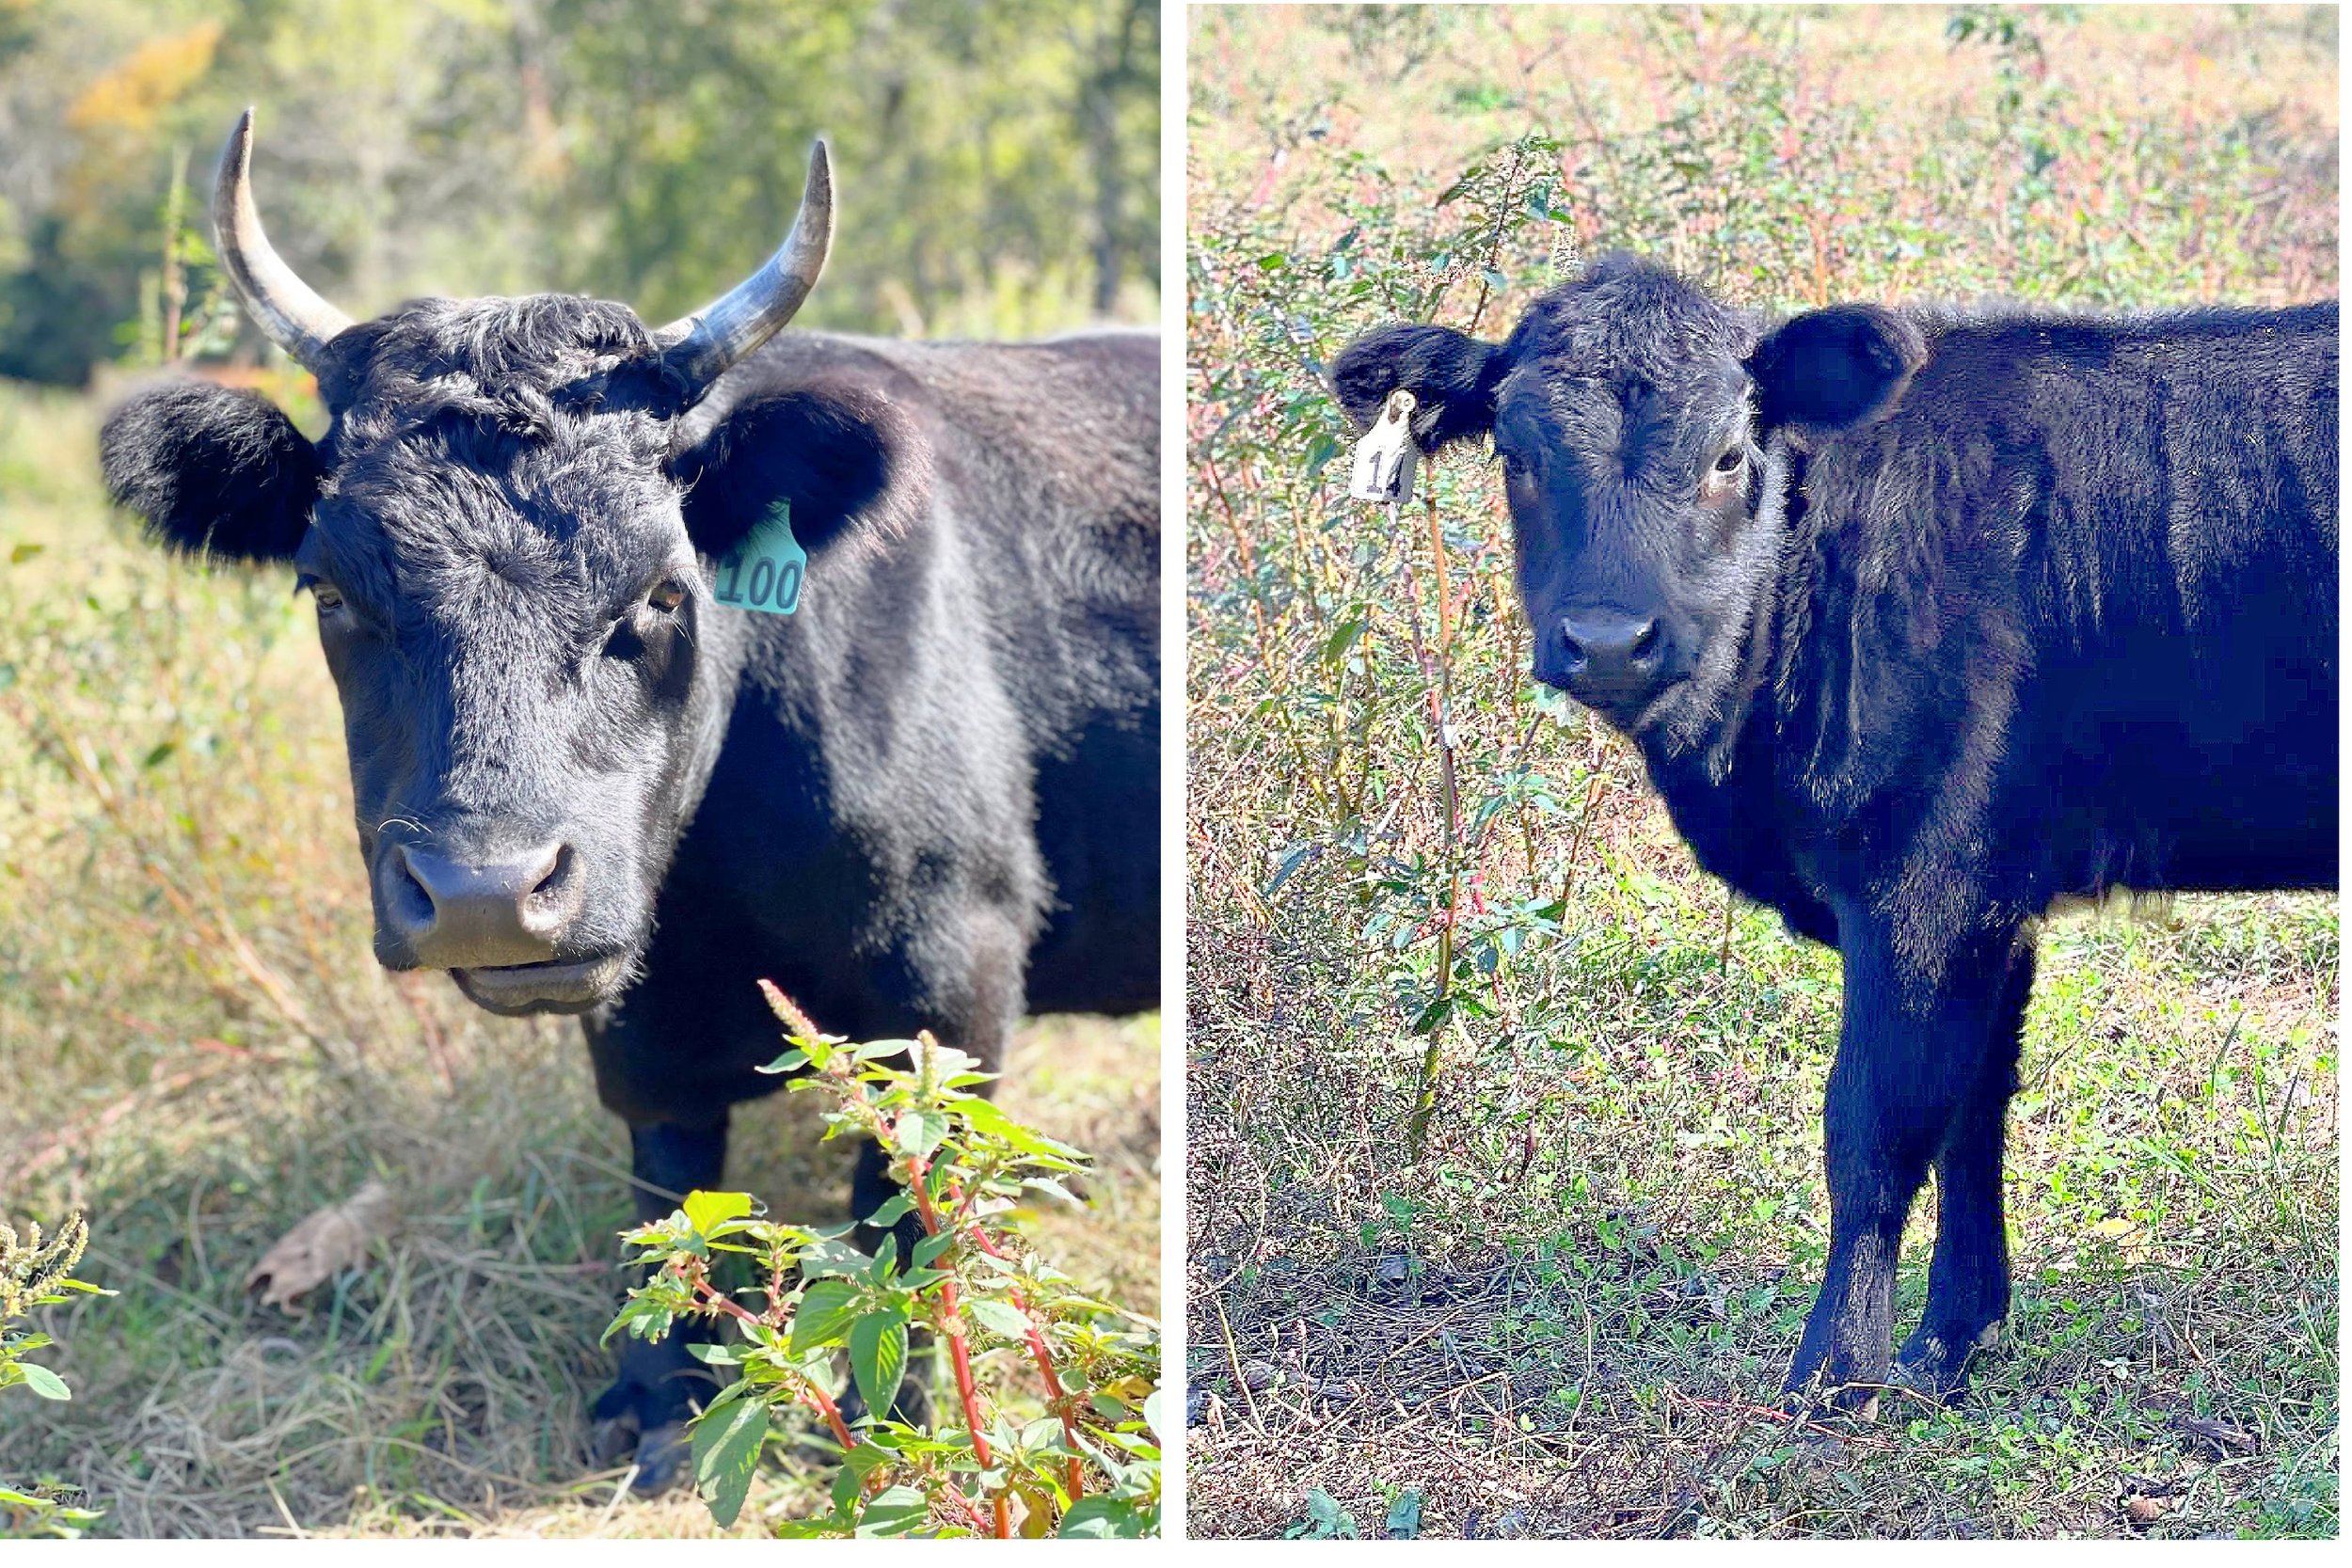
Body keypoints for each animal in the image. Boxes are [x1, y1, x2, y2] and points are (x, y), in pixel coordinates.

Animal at [105, 113, 1152, 1485]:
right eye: (329, 589)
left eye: (660, 589)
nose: (485, 891)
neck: (709, 896)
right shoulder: (636, 1009)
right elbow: (670, 1178)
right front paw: (656, 1392)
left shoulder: (954, 963)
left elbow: (910, 1199)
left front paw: (911, 1419)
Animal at [1336, 255, 2343, 1410]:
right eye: (1515, 455)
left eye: (1730, 453)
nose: (1608, 639)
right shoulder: (1992, 896)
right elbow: (1970, 1114)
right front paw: (1949, 1344)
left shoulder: (1925, 882)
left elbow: (1876, 1122)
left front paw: (1834, 1370)